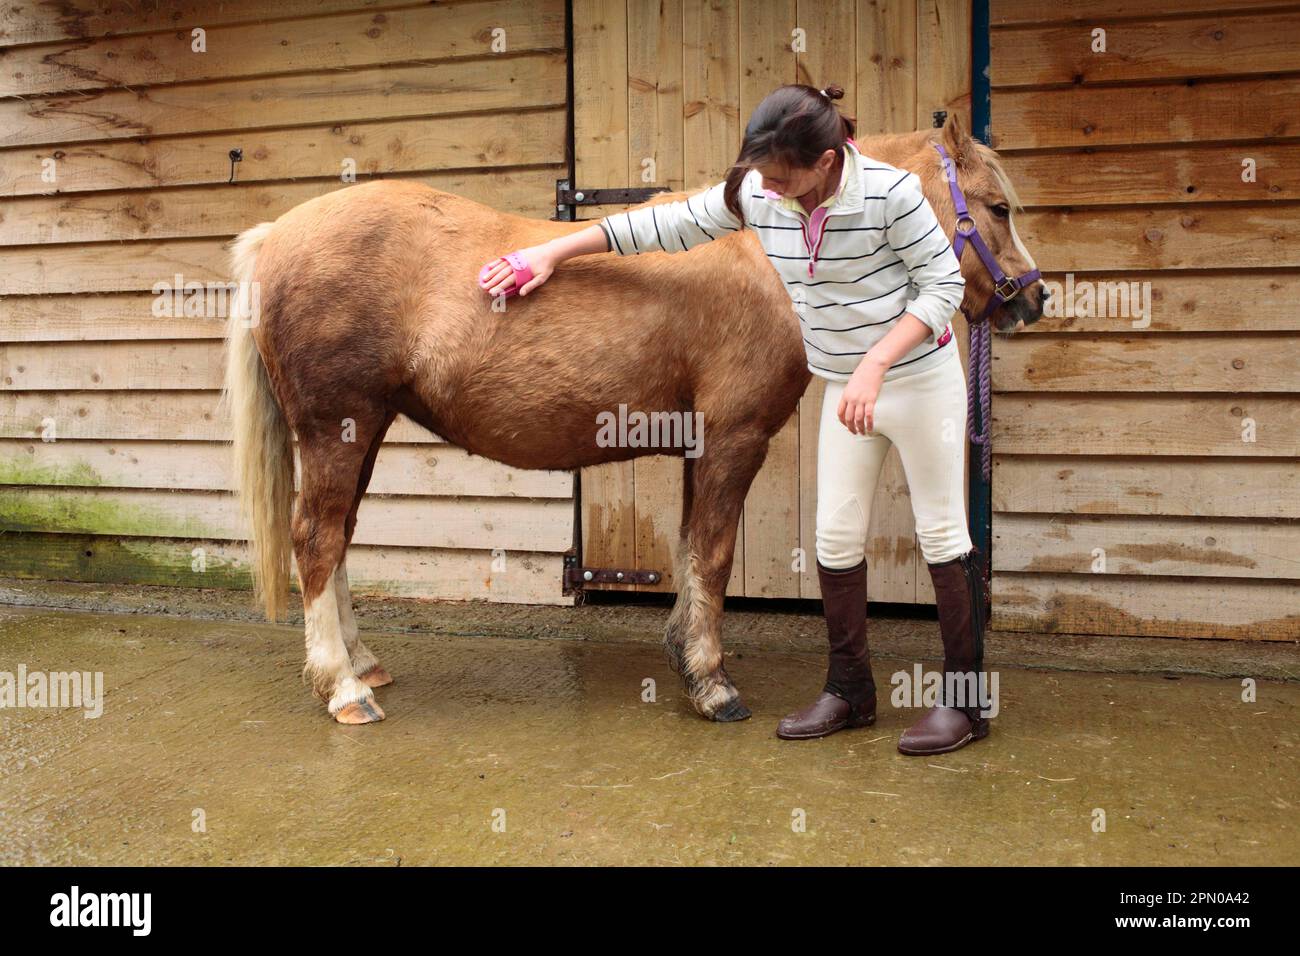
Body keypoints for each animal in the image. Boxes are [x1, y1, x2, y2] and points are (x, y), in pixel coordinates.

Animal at [218, 111, 1040, 723]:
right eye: (997, 208)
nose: (1032, 298)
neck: (761, 263)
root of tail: (275, 236)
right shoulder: (734, 440)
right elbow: (712, 553)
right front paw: (711, 683)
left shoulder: (700, 446)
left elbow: (689, 550)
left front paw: (686, 655)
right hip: (339, 428)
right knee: (316, 539)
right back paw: (343, 687)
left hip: (364, 430)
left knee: (338, 538)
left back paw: (361, 664)